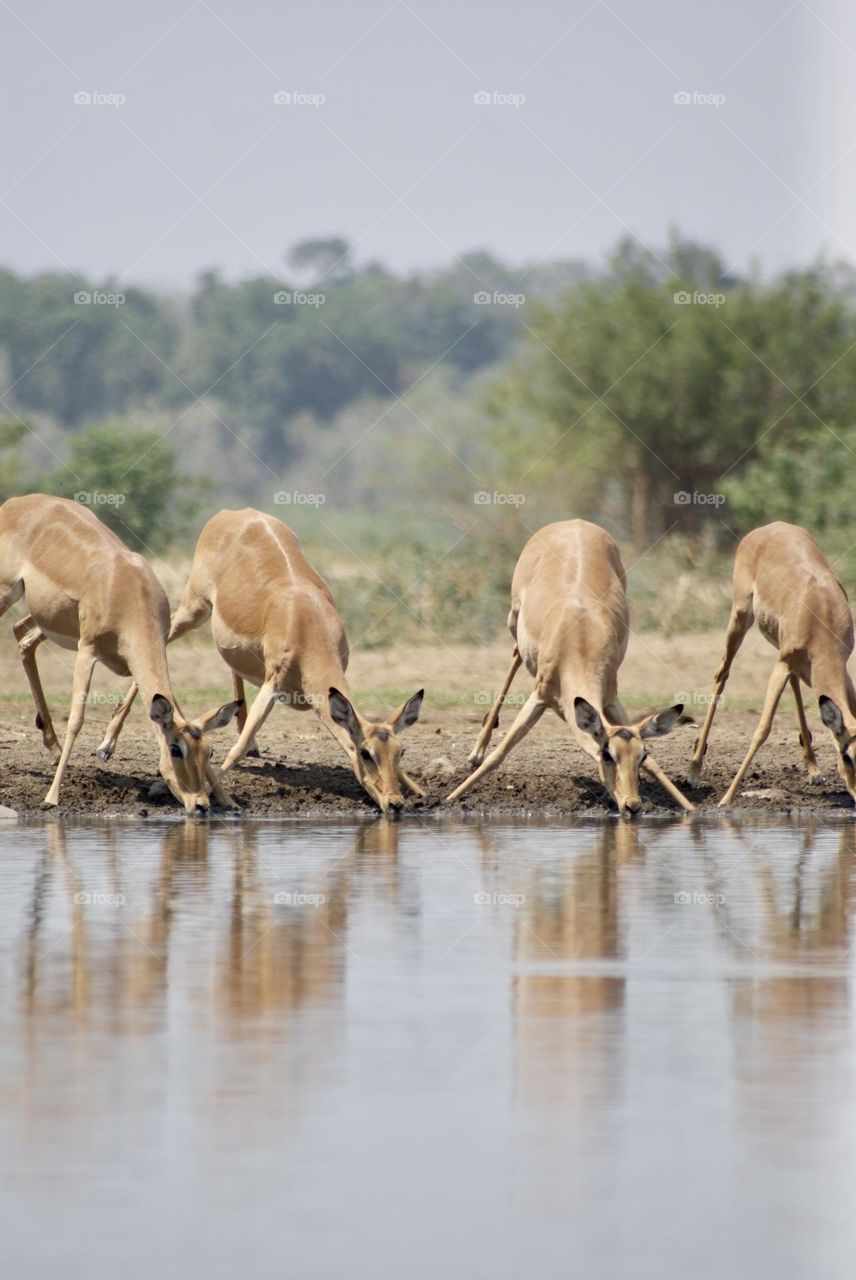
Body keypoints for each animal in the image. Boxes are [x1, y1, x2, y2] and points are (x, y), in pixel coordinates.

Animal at [0, 495, 242, 813]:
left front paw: (228, 801)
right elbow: (76, 720)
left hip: (44, 620)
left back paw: (52, 745)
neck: (127, 590)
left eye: (209, 751)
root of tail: (16, 502)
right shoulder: (86, 650)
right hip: (8, 595)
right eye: (175, 748)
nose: (200, 804)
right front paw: (52, 796)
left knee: (24, 639)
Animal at [96, 509, 425, 815]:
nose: (395, 803)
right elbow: (236, 750)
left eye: (400, 752)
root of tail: (232, 513)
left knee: (230, 669)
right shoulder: (273, 683)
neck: (306, 622)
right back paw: (106, 746)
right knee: (161, 645)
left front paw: (418, 791)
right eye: (366, 753)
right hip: (195, 609)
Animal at [446, 520, 694, 817]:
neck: (579, 637)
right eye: (607, 754)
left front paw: (690, 807)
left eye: (642, 754)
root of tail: (574, 522)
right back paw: (476, 752)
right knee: (515, 654)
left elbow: (655, 765)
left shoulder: (610, 696)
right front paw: (447, 799)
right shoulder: (540, 695)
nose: (632, 805)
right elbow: (500, 753)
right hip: (513, 619)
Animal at [687, 521, 856, 807]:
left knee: (796, 683)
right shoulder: (781, 665)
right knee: (722, 674)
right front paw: (726, 799)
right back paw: (694, 771)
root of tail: (770, 526)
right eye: (848, 756)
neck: (821, 613)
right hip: (740, 618)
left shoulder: (840, 670)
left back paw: (813, 769)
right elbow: (762, 729)